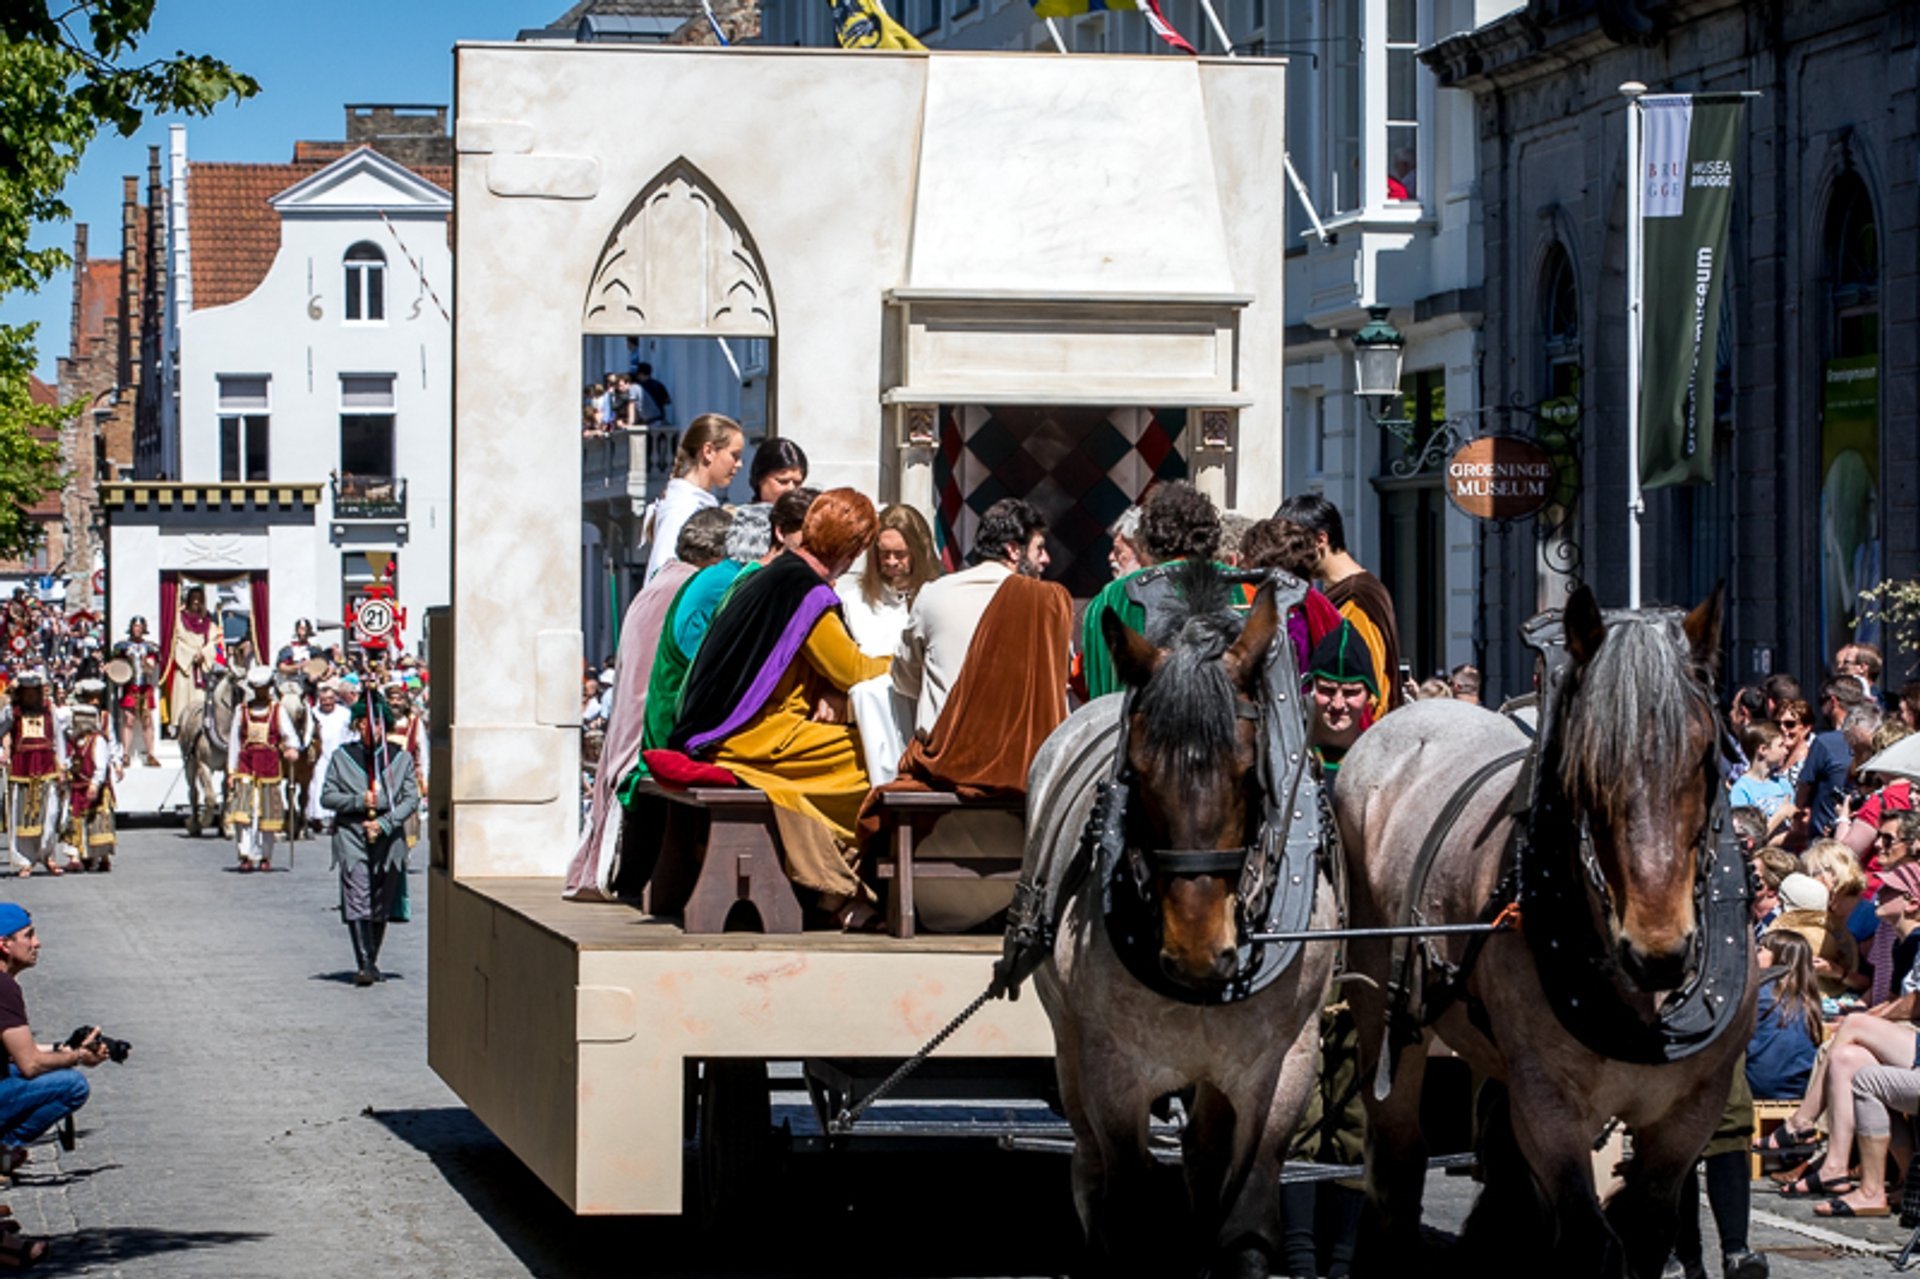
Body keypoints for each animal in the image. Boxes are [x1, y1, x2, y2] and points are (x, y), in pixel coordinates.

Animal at [1029, 576, 1328, 1275]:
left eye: (1249, 772)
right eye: (1136, 772)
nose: (1197, 952)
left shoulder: (1285, 1064)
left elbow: (1245, 1222)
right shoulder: (1114, 1070)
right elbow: (1128, 1210)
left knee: (1202, 1157)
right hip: (1070, 1046)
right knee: (1089, 1166)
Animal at [1336, 583, 1758, 1275]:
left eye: (1704, 755)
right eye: (1585, 767)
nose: (1658, 952)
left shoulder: (1689, 1112)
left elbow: (1646, 1229)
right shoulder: (1549, 1102)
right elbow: (1588, 1237)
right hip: (1385, 1017)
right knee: (1398, 1162)